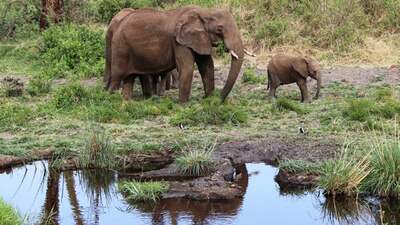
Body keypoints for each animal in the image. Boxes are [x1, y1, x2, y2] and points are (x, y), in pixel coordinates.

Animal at [103, 5, 245, 103]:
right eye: (220, 29)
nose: (218, 99)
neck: (204, 12)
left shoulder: (199, 39)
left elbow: (207, 66)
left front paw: (208, 100)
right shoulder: (178, 41)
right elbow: (187, 68)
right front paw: (183, 105)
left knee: (129, 77)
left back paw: (126, 101)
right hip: (120, 46)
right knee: (117, 76)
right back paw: (110, 99)